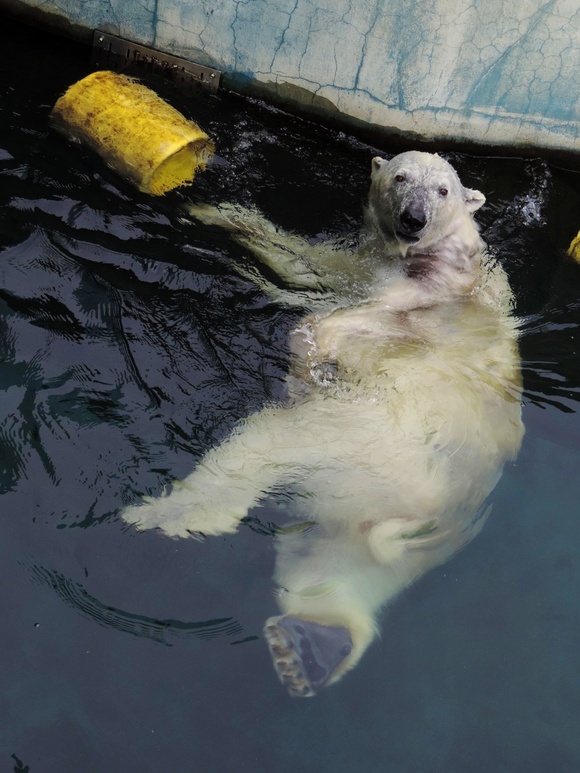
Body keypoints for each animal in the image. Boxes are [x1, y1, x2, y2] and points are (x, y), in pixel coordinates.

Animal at [121, 154, 520, 696]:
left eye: (442, 190)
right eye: (401, 177)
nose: (413, 219)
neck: (424, 255)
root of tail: (429, 510)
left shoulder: (431, 291)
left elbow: (359, 318)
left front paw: (311, 346)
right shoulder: (363, 264)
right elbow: (308, 263)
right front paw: (213, 210)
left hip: (365, 431)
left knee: (266, 444)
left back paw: (169, 513)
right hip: (388, 506)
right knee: (335, 564)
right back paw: (310, 646)